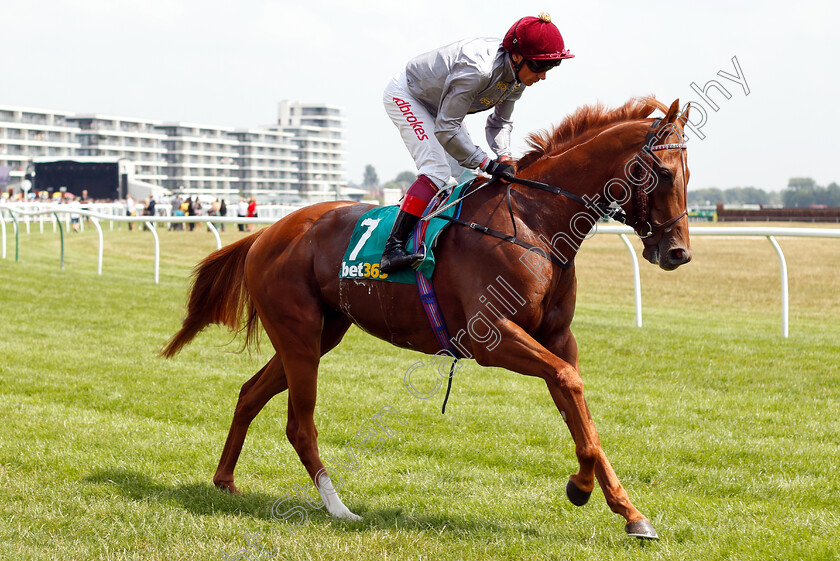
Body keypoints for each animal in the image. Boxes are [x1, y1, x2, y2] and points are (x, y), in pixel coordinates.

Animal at [161, 95, 692, 540]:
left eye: (688, 174)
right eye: (663, 174)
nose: (678, 253)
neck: (535, 222)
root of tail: (267, 232)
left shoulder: (558, 337)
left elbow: (579, 409)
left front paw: (628, 511)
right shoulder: (492, 339)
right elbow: (569, 384)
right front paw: (581, 488)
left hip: (320, 333)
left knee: (250, 393)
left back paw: (225, 479)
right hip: (299, 334)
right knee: (299, 424)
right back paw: (339, 509)